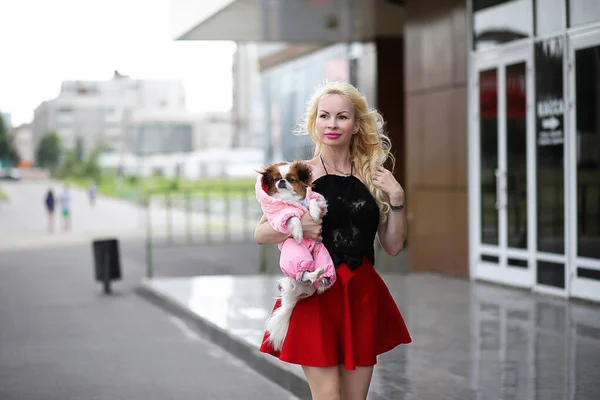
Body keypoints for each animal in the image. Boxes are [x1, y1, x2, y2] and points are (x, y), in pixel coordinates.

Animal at [254, 159, 336, 350]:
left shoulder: (320, 201)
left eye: (291, 179)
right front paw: (298, 232)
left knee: (319, 275)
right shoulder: (281, 215)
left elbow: (313, 202)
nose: (282, 181)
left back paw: (322, 277)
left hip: (321, 252)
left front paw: (313, 213)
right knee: (304, 272)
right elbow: (294, 218)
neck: (291, 199)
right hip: (294, 253)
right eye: (276, 179)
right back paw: (312, 275)